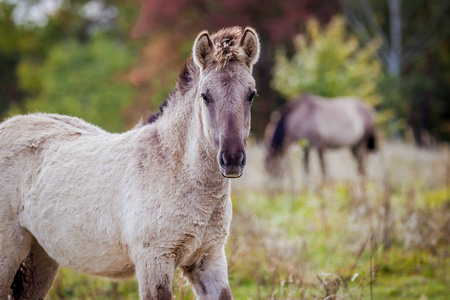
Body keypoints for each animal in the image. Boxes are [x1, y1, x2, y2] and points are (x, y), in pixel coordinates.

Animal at [0, 27, 260, 298]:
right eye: (205, 96)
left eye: (250, 94)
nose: (232, 159)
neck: (177, 172)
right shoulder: (153, 262)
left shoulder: (209, 259)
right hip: (8, 253)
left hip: (41, 255)